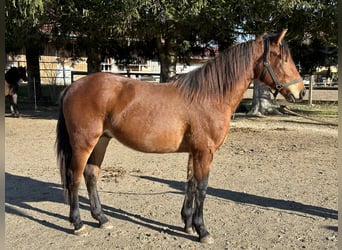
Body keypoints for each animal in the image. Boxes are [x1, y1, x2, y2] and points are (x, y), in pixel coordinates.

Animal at [55, 30, 304, 243]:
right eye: (282, 59)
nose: (300, 91)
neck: (210, 96)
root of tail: (73, 87)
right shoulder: (205, 151)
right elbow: (202, 187)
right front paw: (202, 230)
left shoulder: (195, 151)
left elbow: (190, 183)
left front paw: (188, 224)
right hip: (83, 143)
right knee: (74, 177)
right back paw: (78, 224)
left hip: (102, 141)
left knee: (91, 175)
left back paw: (102, 219)